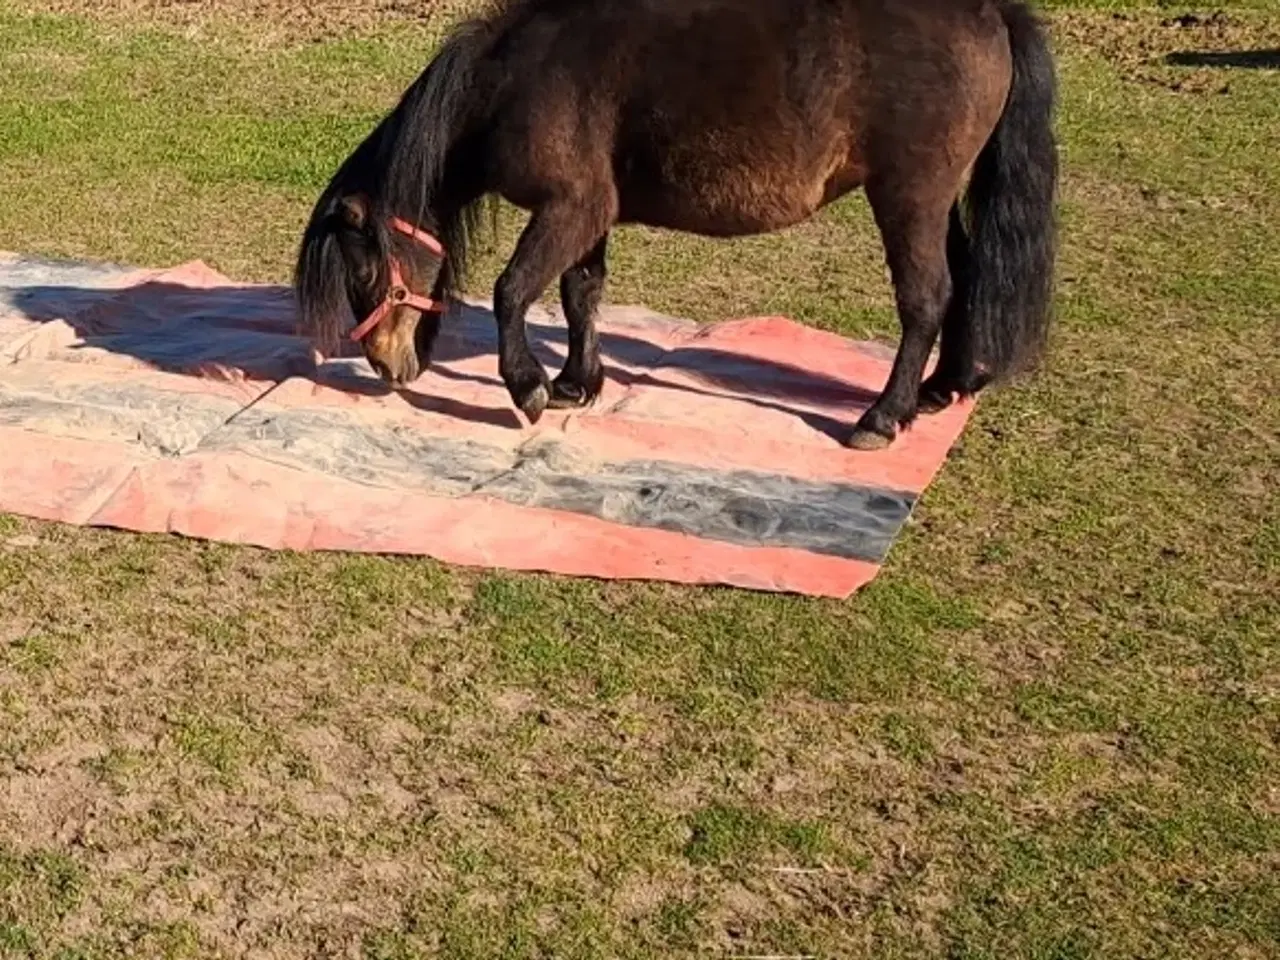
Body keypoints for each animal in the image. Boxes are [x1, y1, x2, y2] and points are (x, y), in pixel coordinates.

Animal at [295, 0, 1058, 450]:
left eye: (365, 268)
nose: (386, 367)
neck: (515, 79)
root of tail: (990, 11)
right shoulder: (590, 212)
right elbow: (580, 293)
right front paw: (577, 382)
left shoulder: (568, 207)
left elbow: (514, 292)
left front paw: (530, 387)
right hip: (935, 200)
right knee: (965, 278)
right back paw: (939, 389)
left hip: (908, 196)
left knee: (925, 298)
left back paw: (881, 417)